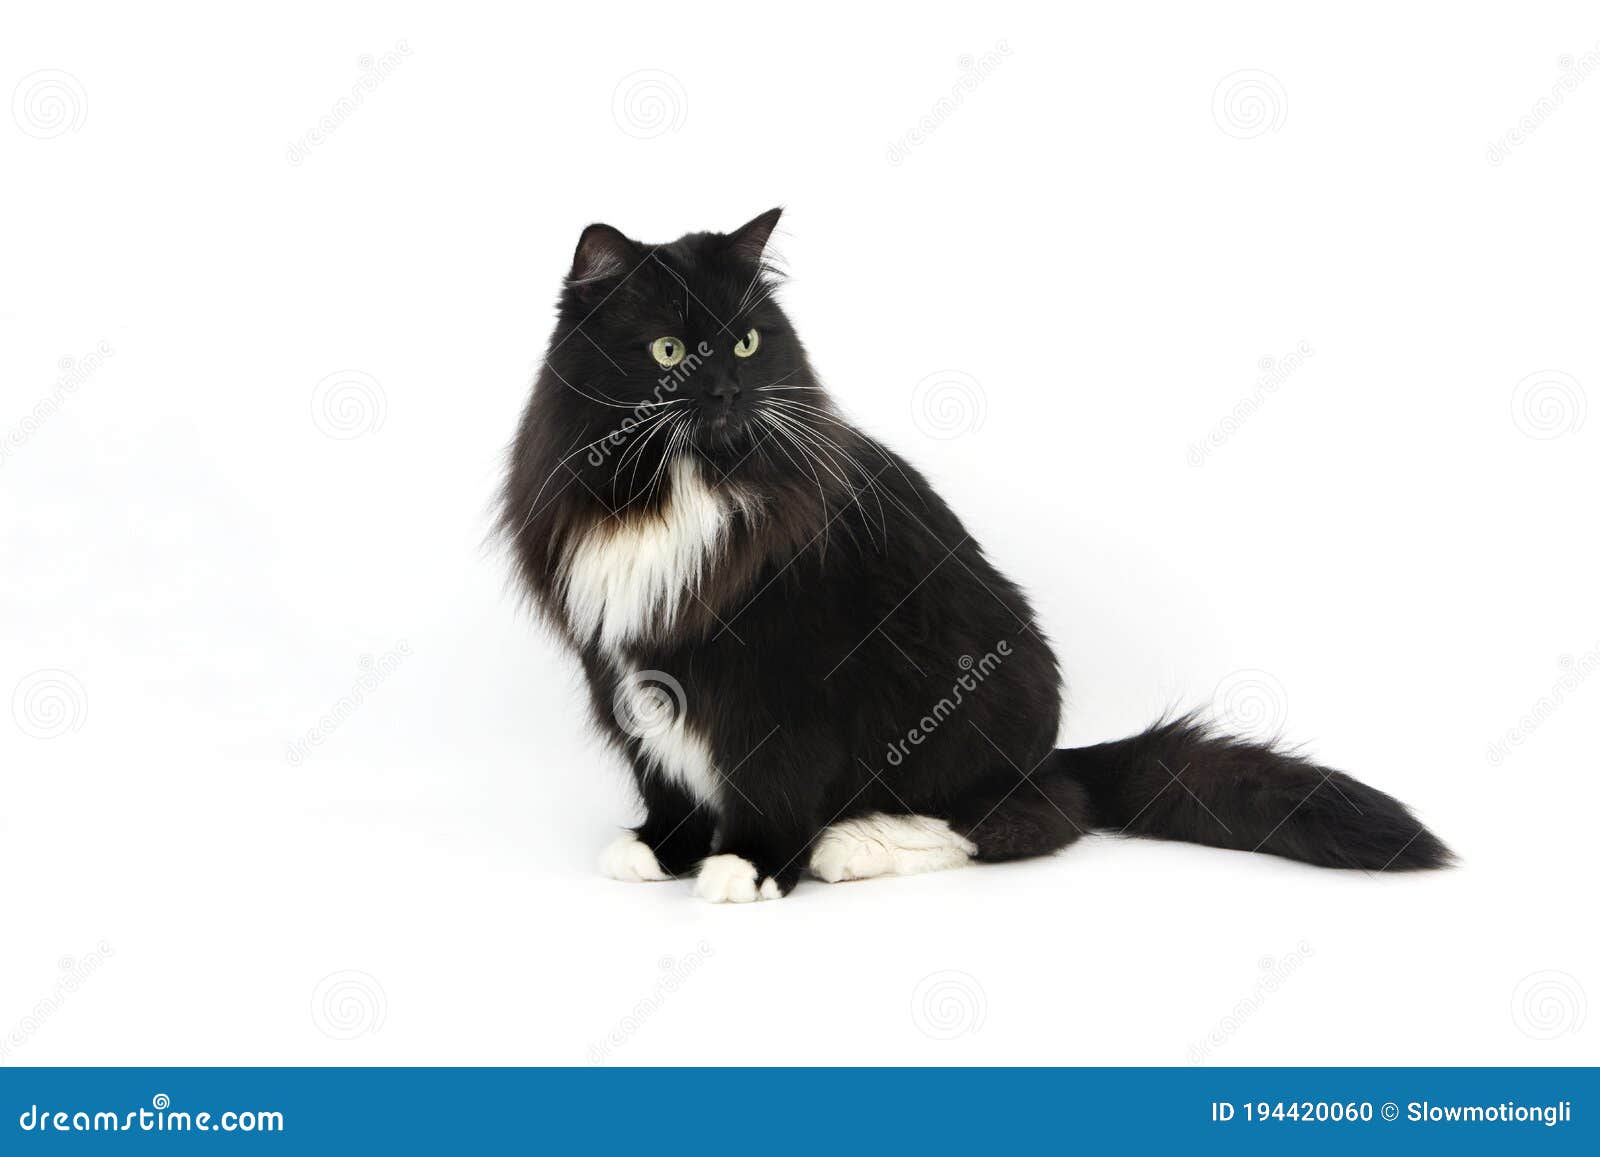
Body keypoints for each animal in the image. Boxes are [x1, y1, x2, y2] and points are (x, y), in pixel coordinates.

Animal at [499, 212, 1452, 908]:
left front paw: (751, 863)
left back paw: (856, 842)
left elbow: (773, 773)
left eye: (745, 344)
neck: (679, 488)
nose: (731, 390)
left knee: (1026, 817)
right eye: (668, 351)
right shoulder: (629, 668)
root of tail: (1050, 753)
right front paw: (663, 847)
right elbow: (663, 767)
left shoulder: (788, 672)